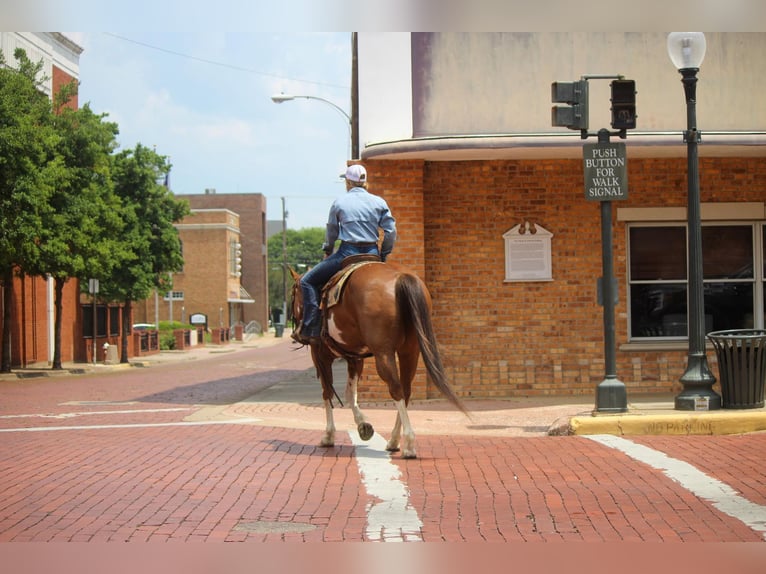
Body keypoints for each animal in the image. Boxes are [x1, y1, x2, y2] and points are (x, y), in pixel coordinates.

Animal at [290, 260, 464, 460]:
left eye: (292, 294)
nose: (295, 332)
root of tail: (400, 277)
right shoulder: (355, 358)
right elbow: (350, 393)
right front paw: (363, 425)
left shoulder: (320, 355)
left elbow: (328, 393)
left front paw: (328, 435)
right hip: (410, 351)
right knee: (405, 390)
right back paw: (394, 440)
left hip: (383, 354)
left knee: (396, 389)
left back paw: (409, 443)